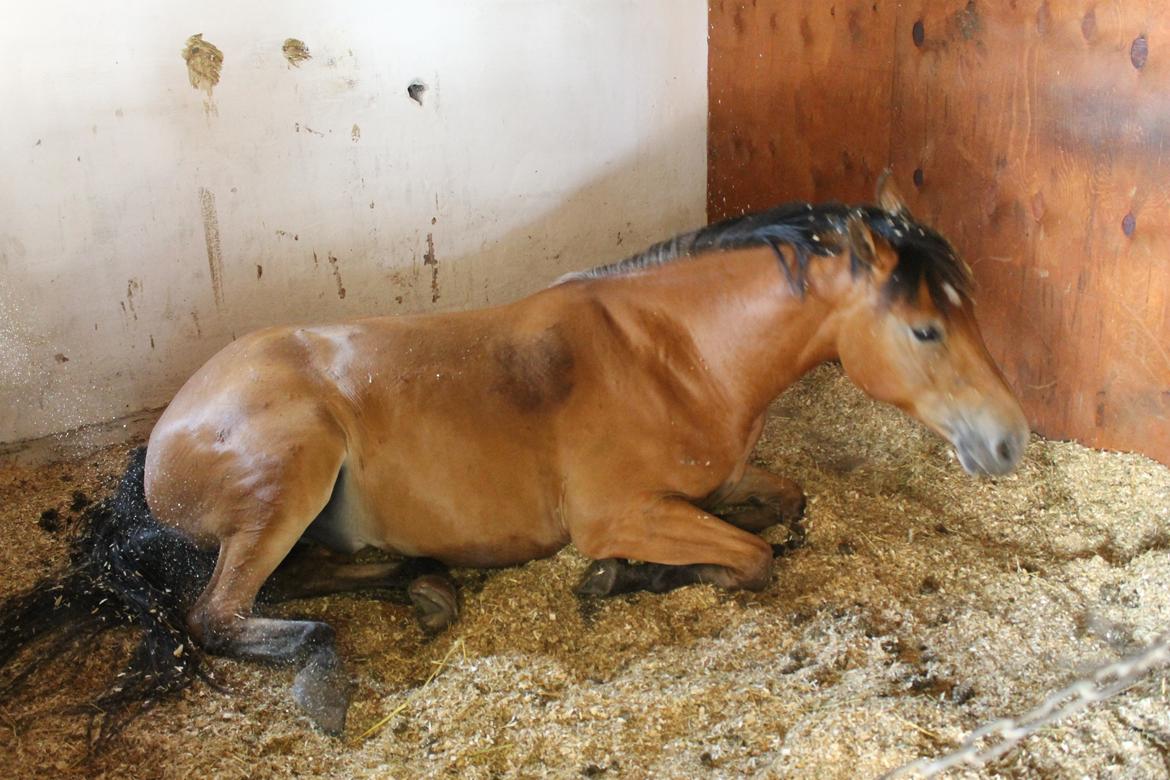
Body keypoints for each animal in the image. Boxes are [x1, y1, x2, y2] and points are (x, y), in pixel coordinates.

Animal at [0, 171, 1024, 739]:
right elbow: (754, 559)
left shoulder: (724, 475)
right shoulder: (621, 512)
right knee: (216, 613)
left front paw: (648, 572)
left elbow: (786, 506)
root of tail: (162, 437)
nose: (1009, 440)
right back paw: (327, 675)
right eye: (927, 329)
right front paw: (624, 577)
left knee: (286, 582)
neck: (672, 355)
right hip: (294, 468)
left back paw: (422, 583)